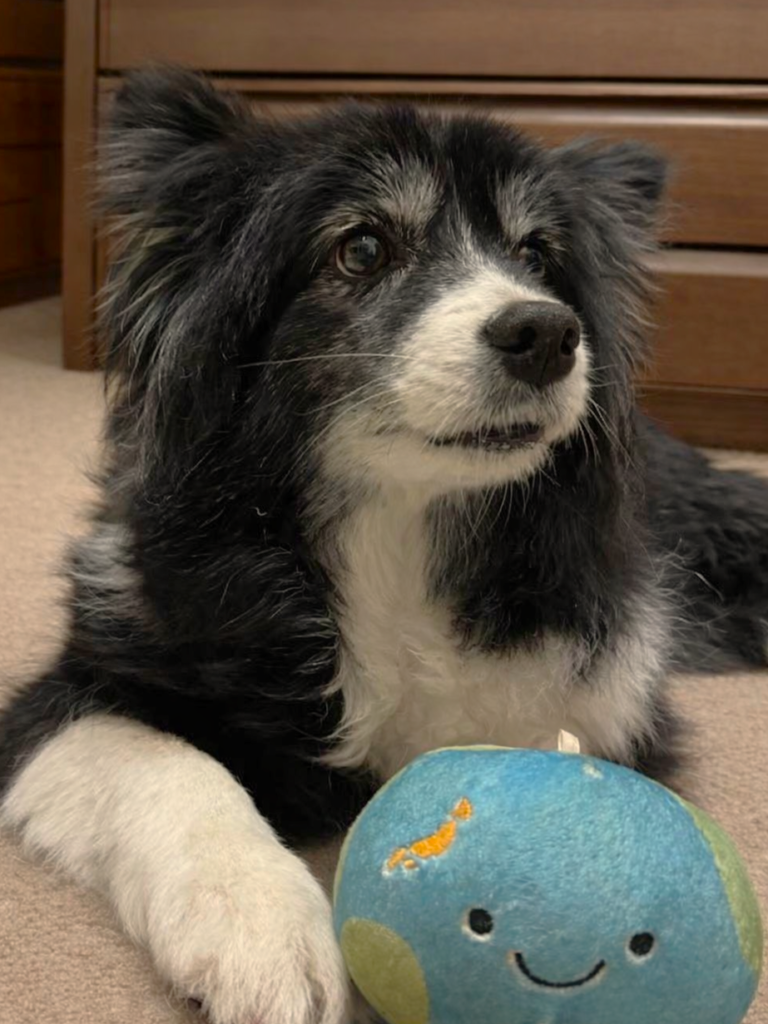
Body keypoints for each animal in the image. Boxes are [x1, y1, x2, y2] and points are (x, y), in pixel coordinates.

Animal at [2, 68, 767, 1024]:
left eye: (539, 254)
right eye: (362, 248)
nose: (547, 334)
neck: (398, 523)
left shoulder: (607, 688)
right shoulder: (84, 682)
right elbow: (168, 765)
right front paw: (263, 937)